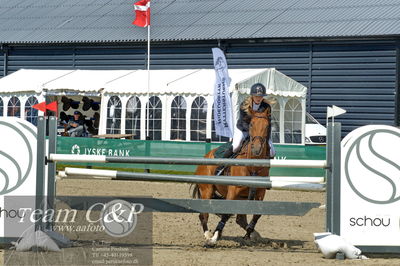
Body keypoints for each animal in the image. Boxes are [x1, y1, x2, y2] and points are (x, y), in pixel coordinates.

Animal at [191, 107, 270, 244]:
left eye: (266, 126)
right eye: (251, 124)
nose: (256, 149)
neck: (253, 166)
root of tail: (205, 157)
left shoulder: (260, 191)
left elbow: (257, 214)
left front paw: (249, 234)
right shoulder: (233, 191)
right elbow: (226, 214)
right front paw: (215, 237)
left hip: (241, 198)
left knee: (240, 219)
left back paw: (255, 234)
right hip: (207, 190)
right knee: (203, 214)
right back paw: (208, 234)